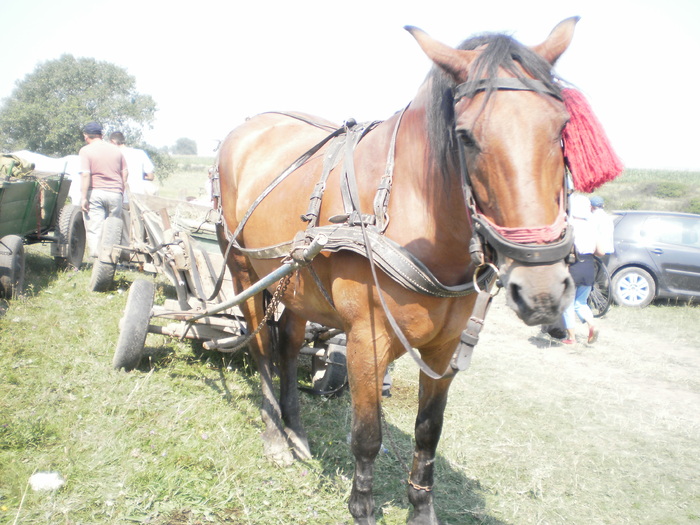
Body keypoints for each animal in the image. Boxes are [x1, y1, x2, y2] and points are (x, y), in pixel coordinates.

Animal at [219, 17, 580, 524]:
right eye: (465, 135)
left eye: (562, 127)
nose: (543, 289)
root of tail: (247, 127)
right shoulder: (366, 340)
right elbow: (367, 435)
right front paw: (363, 507)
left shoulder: (444, 349)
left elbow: (428, 433)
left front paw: (421, 509)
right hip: (243, 271)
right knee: (262, 348)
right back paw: (275, 436)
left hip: (296, 282)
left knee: (288, 344)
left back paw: (297, 431)